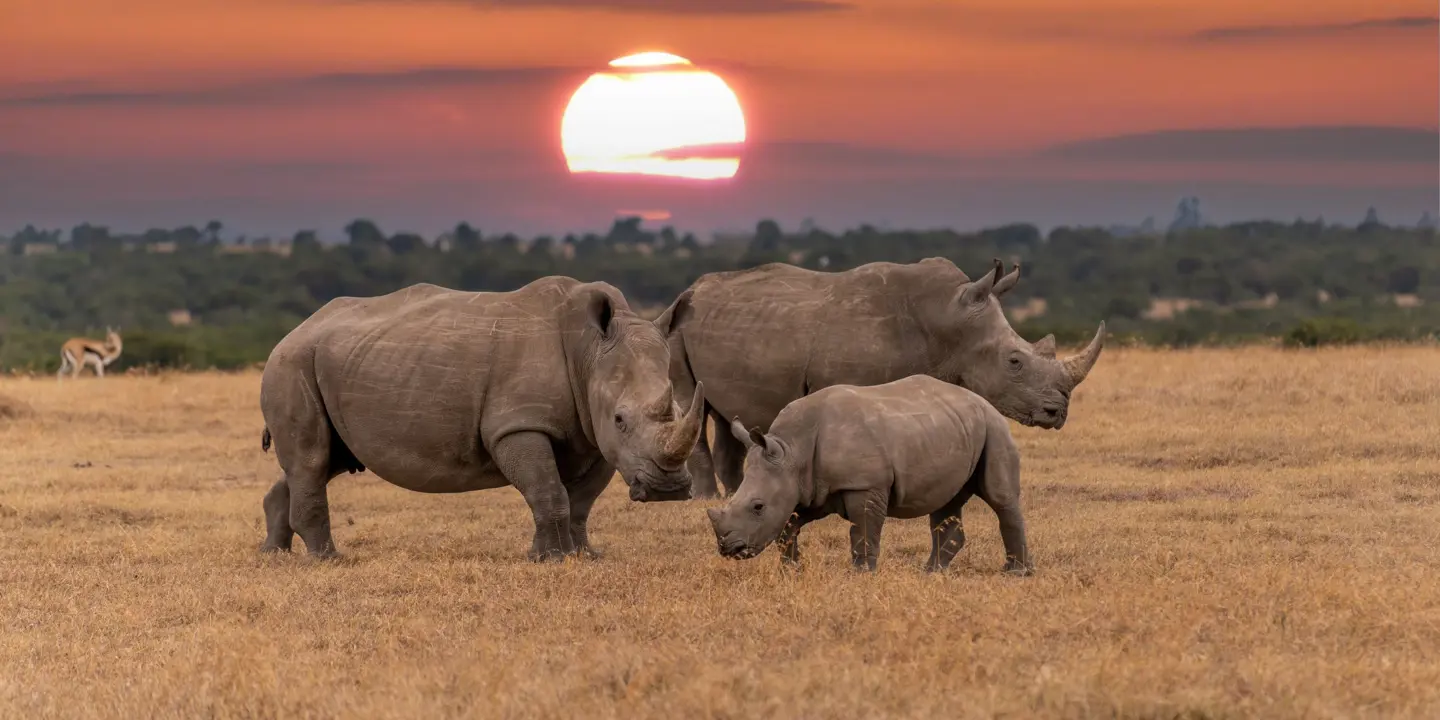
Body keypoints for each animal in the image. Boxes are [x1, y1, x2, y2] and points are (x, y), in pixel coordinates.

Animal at [257, 278, 705, 561]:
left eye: (681, 409)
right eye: (620, 419)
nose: (668, 490)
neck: (590, 352)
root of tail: (298, 328)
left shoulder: (593, 437)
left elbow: (580, 502)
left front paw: (582, 556)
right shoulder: (519, 424)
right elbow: (548, 491)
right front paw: (552, 559)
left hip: (334, 361)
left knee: (323, 461)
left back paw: (274, 554)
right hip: (291, 362)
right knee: (312, 459)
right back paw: (328, 559)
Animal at [657, 257, 1104, 499]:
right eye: (1014, 362)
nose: (1057, 412)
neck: (949, 323)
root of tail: (690, 289)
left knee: (724, 412)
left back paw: (736, 492)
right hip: (676, 326)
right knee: (693, 402)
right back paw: (702, 499)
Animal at [706, 375, 1031, 574]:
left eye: (758, 507)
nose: (728, 549)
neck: (792, 450)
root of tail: (982, 399)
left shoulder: (864, 484)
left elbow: (863, 530)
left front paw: (861, 574)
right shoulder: (809, 488)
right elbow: (789, 527)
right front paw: (793, 570)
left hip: (993, 427)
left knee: (1000, 499)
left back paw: (1016, 573)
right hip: (953, 428)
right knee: (945, 502)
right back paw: (930, 572)